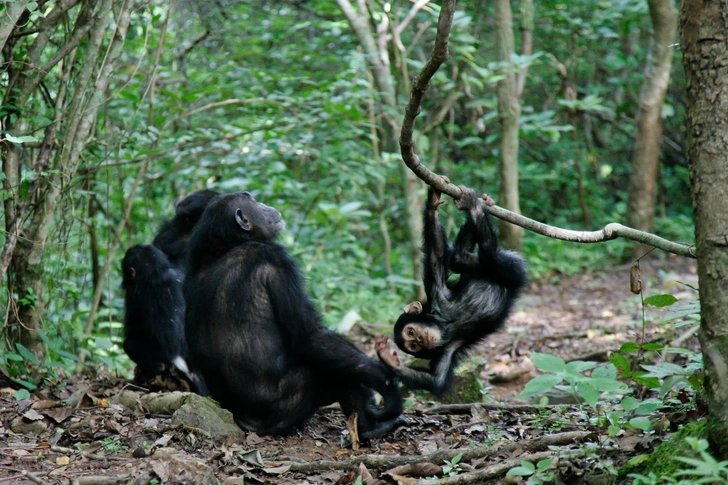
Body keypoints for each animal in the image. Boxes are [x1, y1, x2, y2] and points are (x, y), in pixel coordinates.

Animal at [183, 191, 404, 436]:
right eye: (252, 200)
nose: (265, 204)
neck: (228, 246)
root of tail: (247, 423)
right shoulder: (277, 259)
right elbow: (310, 335)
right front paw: (386, 384)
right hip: (287, 406)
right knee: (337, 370)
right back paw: (371, 428)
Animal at [378, 183, 528, 396]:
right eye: (413, 344)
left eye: (411, 332)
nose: (421, 339)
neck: (445, 324)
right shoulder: (447, 348)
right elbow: (436, 380)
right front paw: (389, 360)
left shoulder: (437, 292)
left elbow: (436, 253)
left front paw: (433, 202)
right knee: (460, 258)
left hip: (512, 266)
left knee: (485, 254)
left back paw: (474, 205)